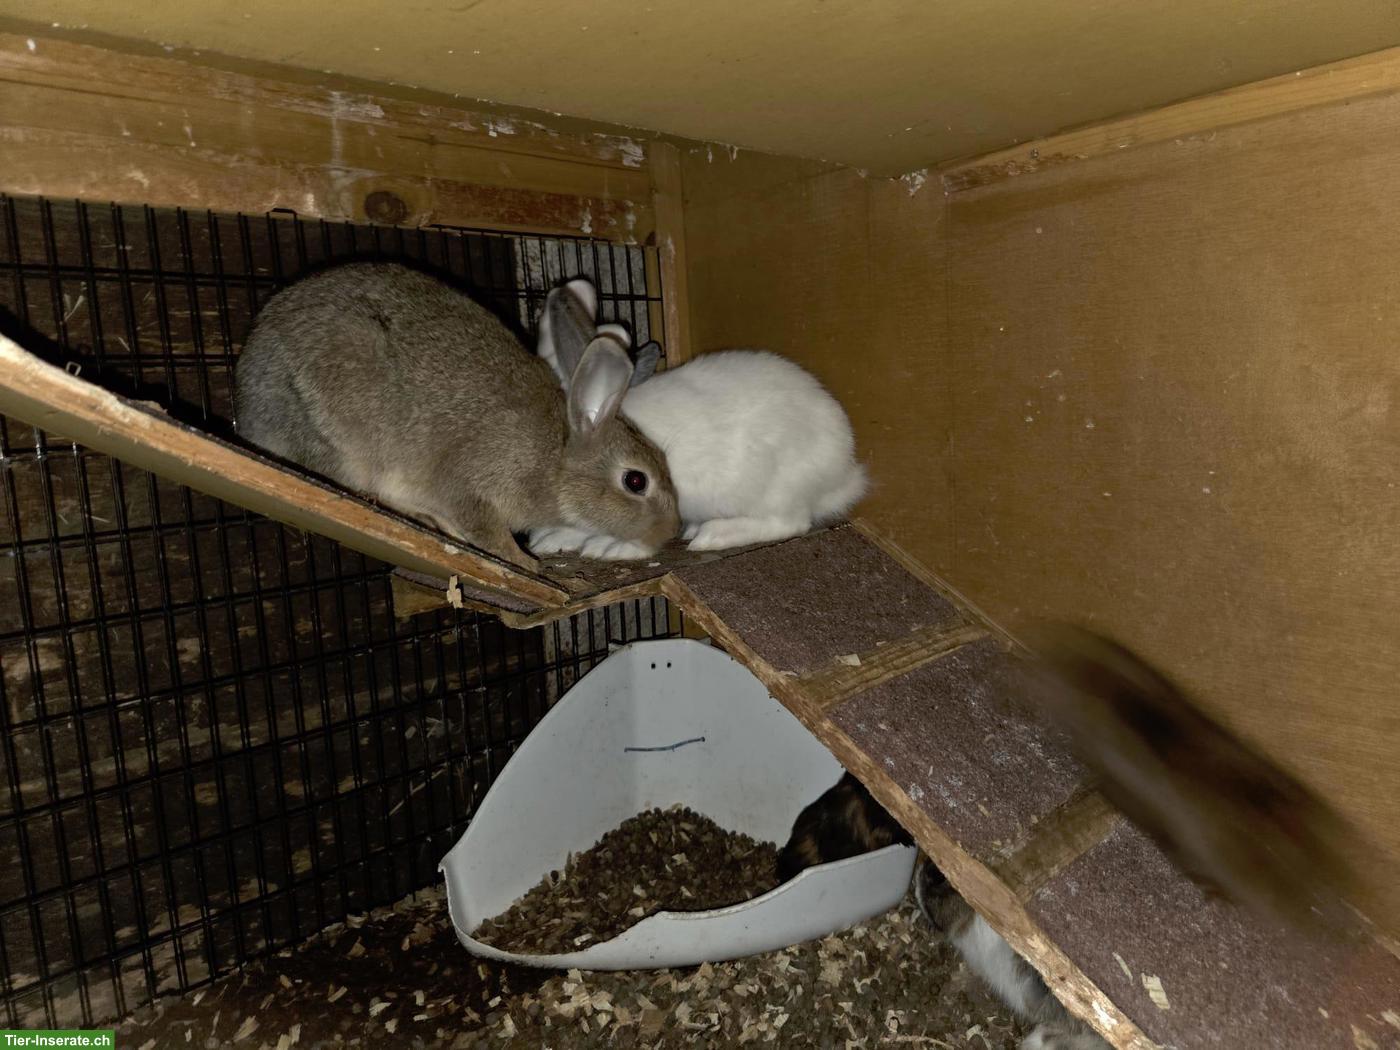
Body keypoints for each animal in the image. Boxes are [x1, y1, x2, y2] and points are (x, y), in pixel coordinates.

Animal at [233, 262, 680, 569]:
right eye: (636, 481)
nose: (669, 532)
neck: (556, 456)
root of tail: (248, 415)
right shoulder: (472, 482)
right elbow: (486, 529)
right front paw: (525, 562)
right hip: (342, 433)